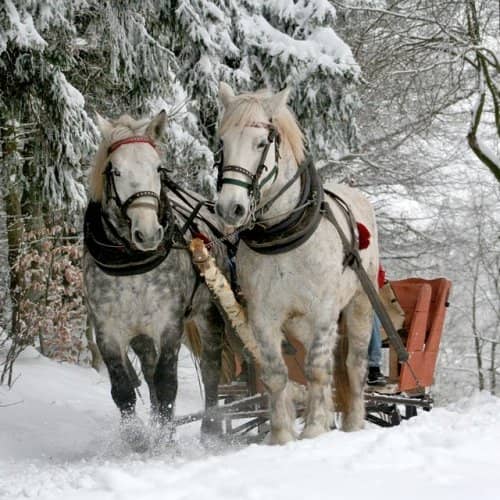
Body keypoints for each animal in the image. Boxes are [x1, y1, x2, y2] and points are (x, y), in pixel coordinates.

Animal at [215, 83, 378, 446]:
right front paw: (282, 435)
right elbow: (277, 373)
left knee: (353, 364)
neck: (283, 233)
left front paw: (315, 428)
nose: (230, 208)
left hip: (359, 304)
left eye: (262, 143)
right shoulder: (263, 315)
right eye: (222, 143)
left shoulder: (324, 311)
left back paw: (353, 423)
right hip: (299, 323)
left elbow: (317, 369)